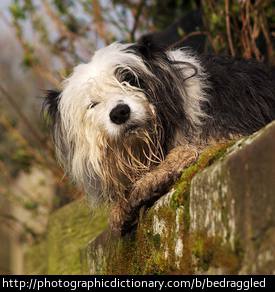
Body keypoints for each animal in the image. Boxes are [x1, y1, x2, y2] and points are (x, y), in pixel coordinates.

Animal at [44, 39, 275, 235]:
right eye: (93, 104)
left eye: (129, 79)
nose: (120, 113)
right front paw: (120, 206)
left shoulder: (225, 129)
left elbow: (189, 149)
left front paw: (150, 179)